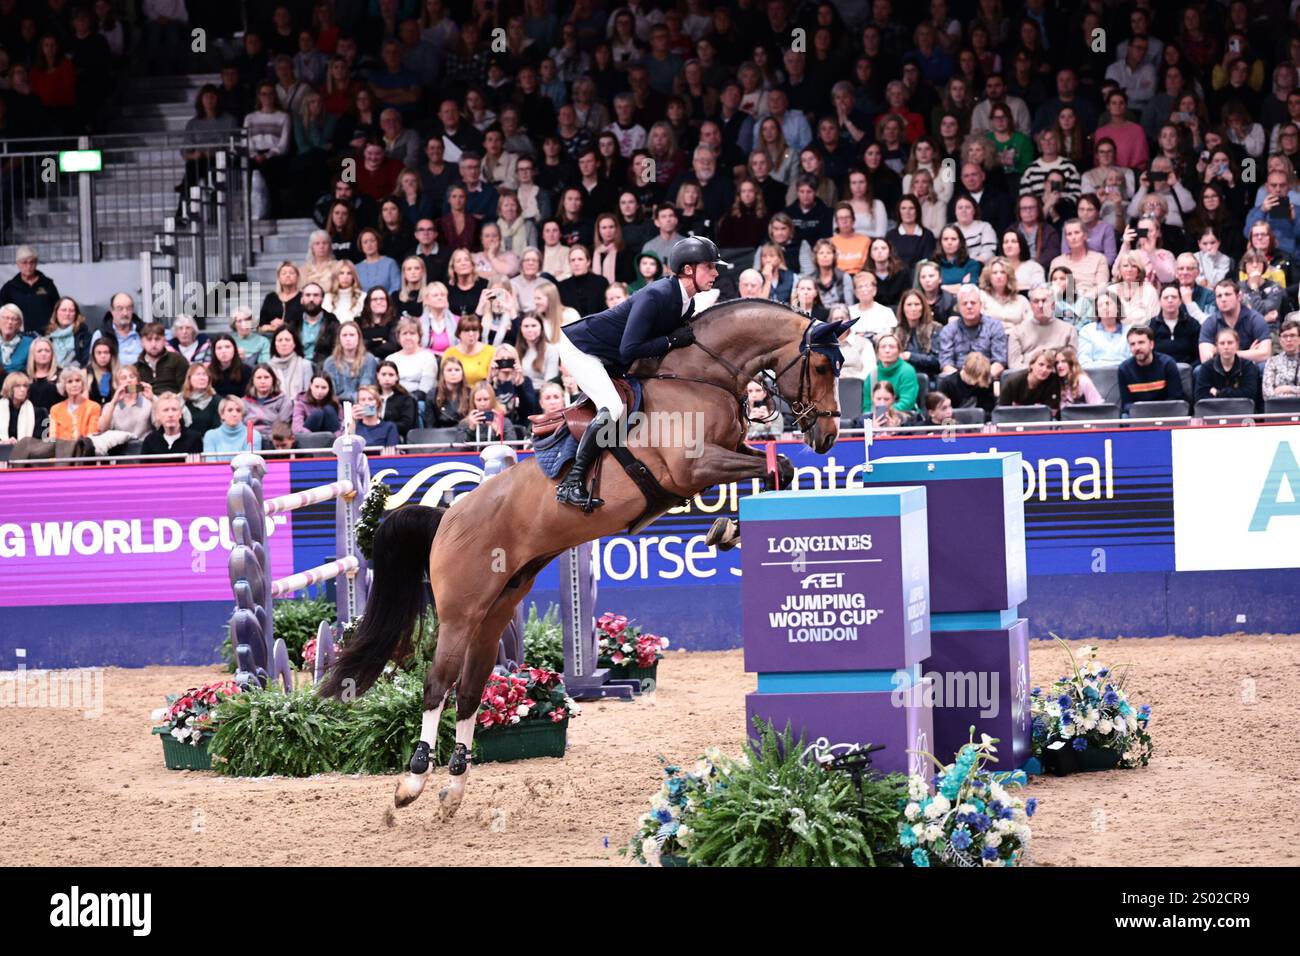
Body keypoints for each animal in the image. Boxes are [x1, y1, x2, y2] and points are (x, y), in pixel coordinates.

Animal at [318, 297, 847, 816]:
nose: (826, 436)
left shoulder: (727, 453)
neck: (700, 376)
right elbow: (774, 466)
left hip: (497, 609)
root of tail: (446, 517)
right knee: (438, 683)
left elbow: (780, 468)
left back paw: (454, 788)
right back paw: (413, 781)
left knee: (469, 690)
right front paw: (727, 528)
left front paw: (728, 528)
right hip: (461, 612)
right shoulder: (695, 467)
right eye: (821, 365)